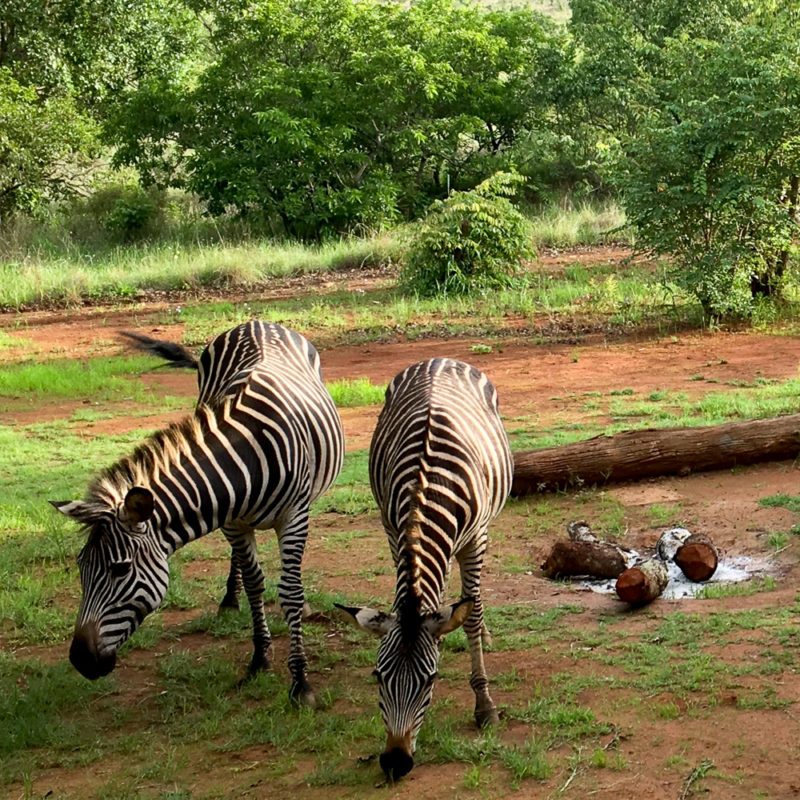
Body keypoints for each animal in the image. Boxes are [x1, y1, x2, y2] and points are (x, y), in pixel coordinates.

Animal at [51, 320, 346, 708]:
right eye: (81, 567)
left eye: (120, 569)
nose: (80, 660)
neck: (244, 460)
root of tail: (256, 322)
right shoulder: (232, 521)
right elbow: (255, 583)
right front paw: (260, 658)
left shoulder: (294, 517)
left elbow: (290, 592)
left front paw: (300, 681)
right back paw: (230, 599)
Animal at [336, 360, 512, 780]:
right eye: (377, 676)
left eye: (430, 680)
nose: (395, 763)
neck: (426, 484)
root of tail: (439, 360)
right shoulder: (393, 529)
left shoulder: (475, 539)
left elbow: (470, 613)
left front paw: (484, 705)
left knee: (472, 599)